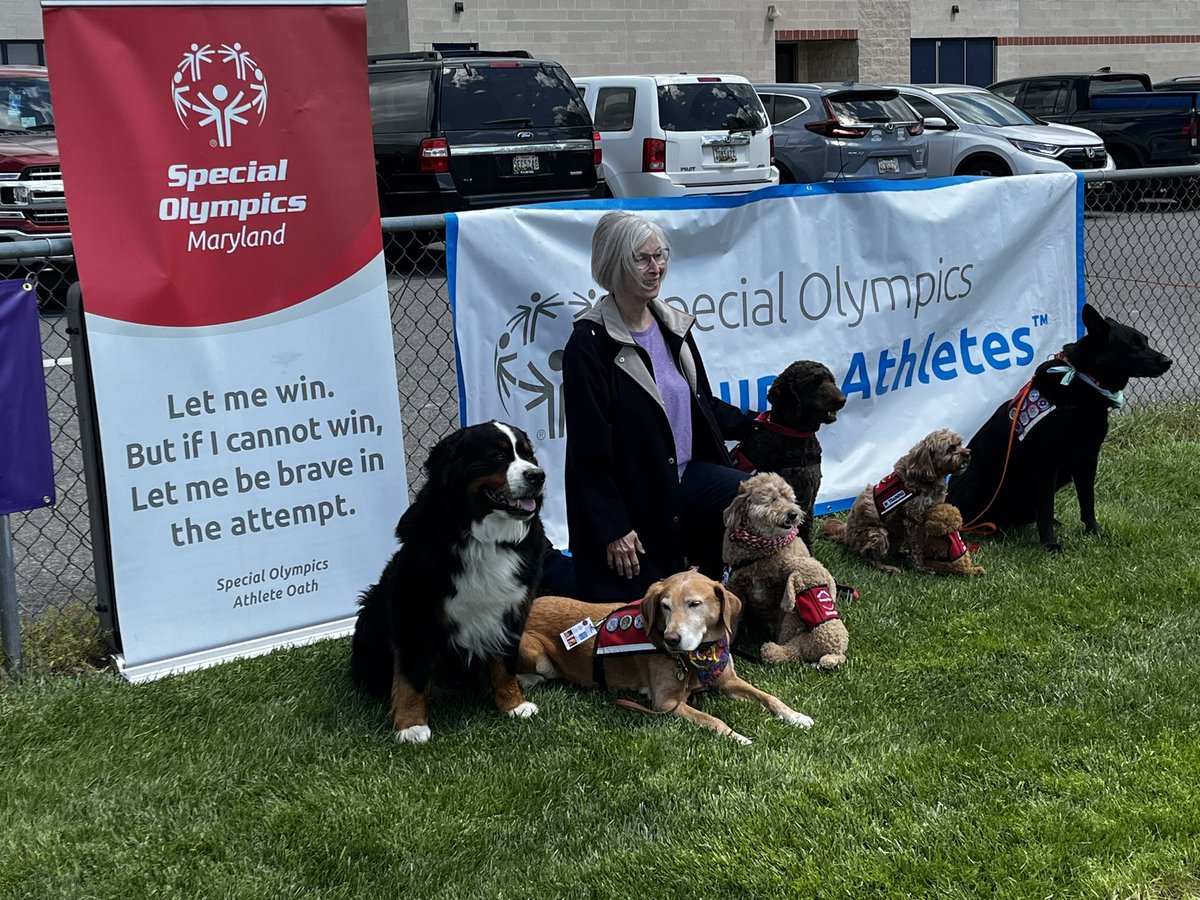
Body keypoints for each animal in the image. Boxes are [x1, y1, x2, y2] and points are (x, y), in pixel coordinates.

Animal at [516, 573, 816, 744]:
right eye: (664, 606)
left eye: (694, 604)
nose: (672, 639)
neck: (699, 654)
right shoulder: (666, 703)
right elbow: (713, 720)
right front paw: (738, 737)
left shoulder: (727, 680)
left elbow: (770, 697)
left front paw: (796, 716)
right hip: (537, 655)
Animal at [720, 472, 844, 672]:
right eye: (772, 498)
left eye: (790, 498)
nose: (793, 514)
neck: (762, 551)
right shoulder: (736, 586)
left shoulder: (782, 594)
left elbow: (783, 625)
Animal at [825, 432, 974, 578]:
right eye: (950, 448)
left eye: (960, 443)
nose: (968, 453)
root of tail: (847, 535)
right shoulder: (914, 520)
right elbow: (917, 546)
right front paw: (920, 567)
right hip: (877, 534)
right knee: (869, 558)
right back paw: (887, 567)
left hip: (896, 536)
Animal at [945, 304, 1171, 549]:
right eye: (1133, 344)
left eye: (1146, 341)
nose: (1168, 361)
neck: (1082, 379)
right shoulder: (1046, 463)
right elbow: (1046, 506)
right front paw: (1050, 544)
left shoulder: (1088, 459)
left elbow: (1087, 503)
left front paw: (1094, 532)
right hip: (979, 483)